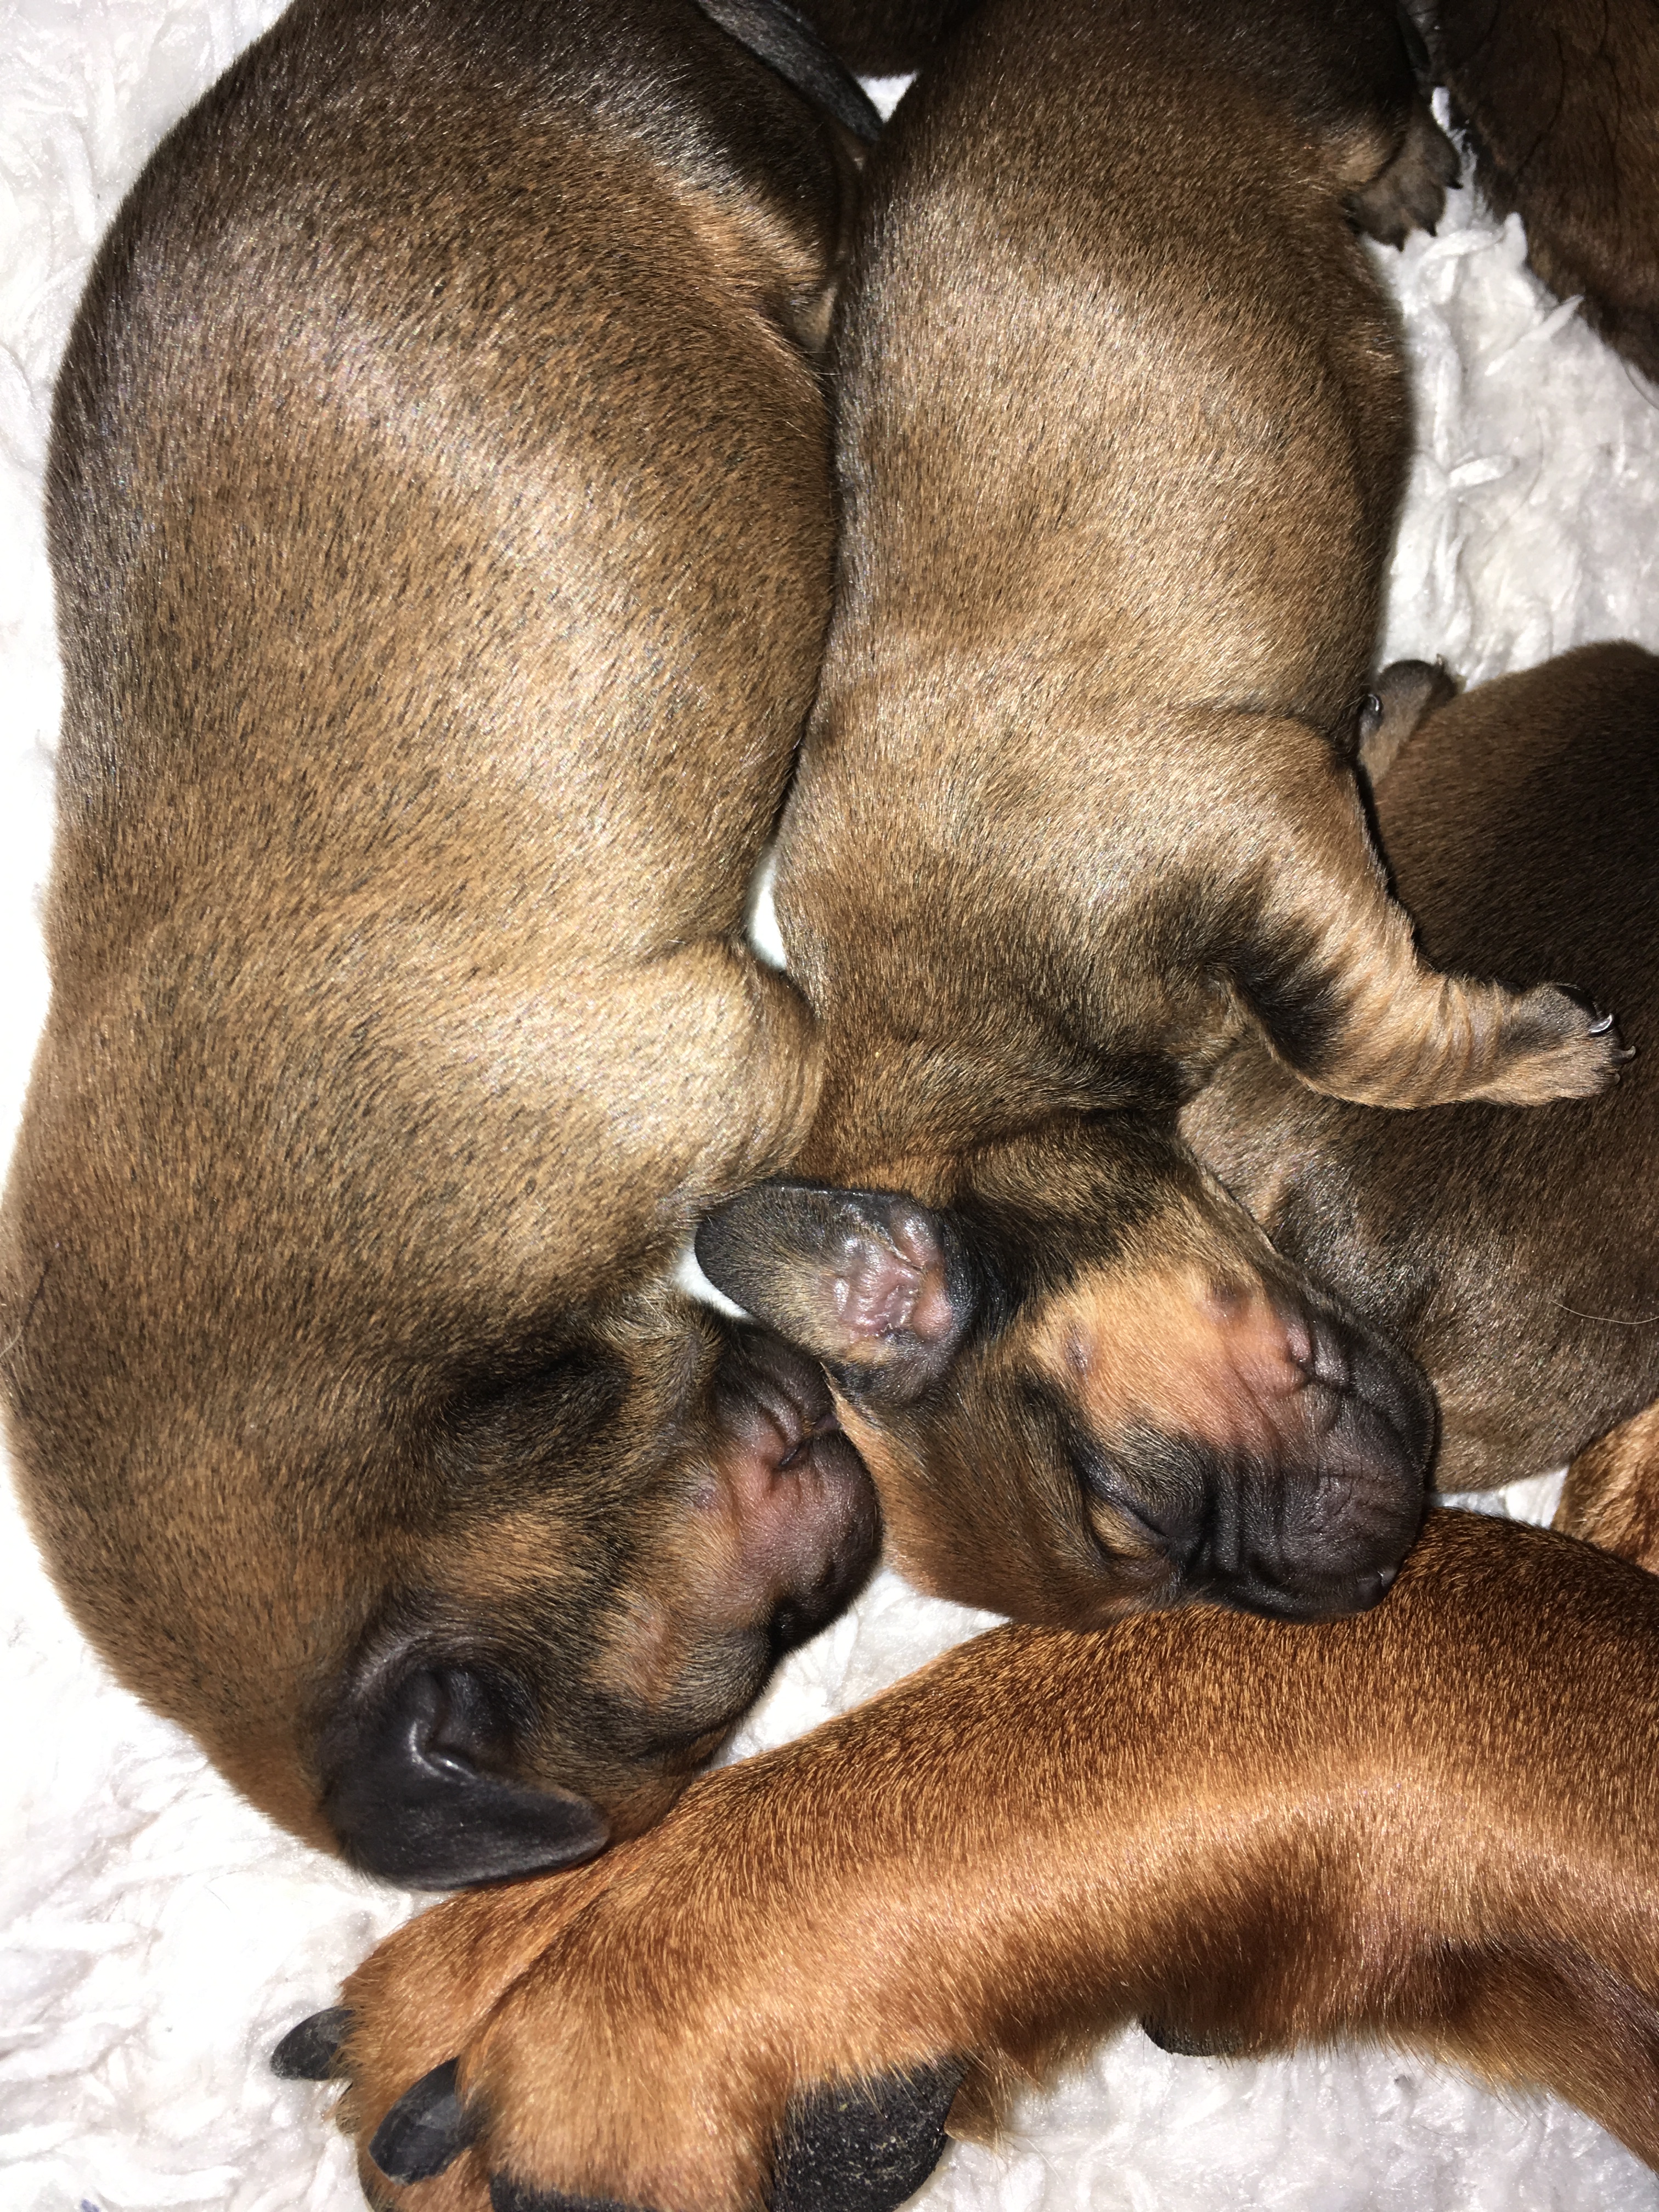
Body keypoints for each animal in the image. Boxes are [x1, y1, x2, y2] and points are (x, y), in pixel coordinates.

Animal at [695, 0, 1629, 1633]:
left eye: (1126, 1504)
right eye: (1147, 1569)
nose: (1368, 1582)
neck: (982, 1061)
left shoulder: (1245, 831)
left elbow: (1343, 1027)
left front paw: (1534, 1053)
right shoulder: (1297, 826)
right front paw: (1400, 710)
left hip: (1308, 82)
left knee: (1386, 86)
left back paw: (1417, 162)